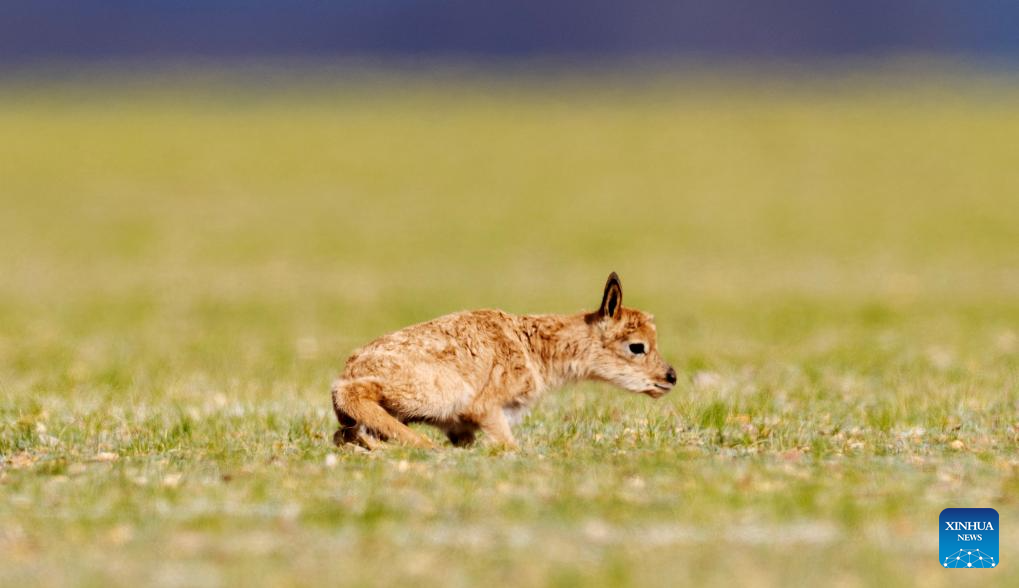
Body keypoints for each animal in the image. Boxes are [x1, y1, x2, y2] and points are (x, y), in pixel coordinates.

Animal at [330, 271, 672, 448]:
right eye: (637, 346)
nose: (670, 377)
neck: (534, 348)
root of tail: (350, 365)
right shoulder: (485, 410)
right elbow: (510, 446)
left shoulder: (462, 430)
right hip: (436, 392)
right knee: (351, 395)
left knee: (347, 430)